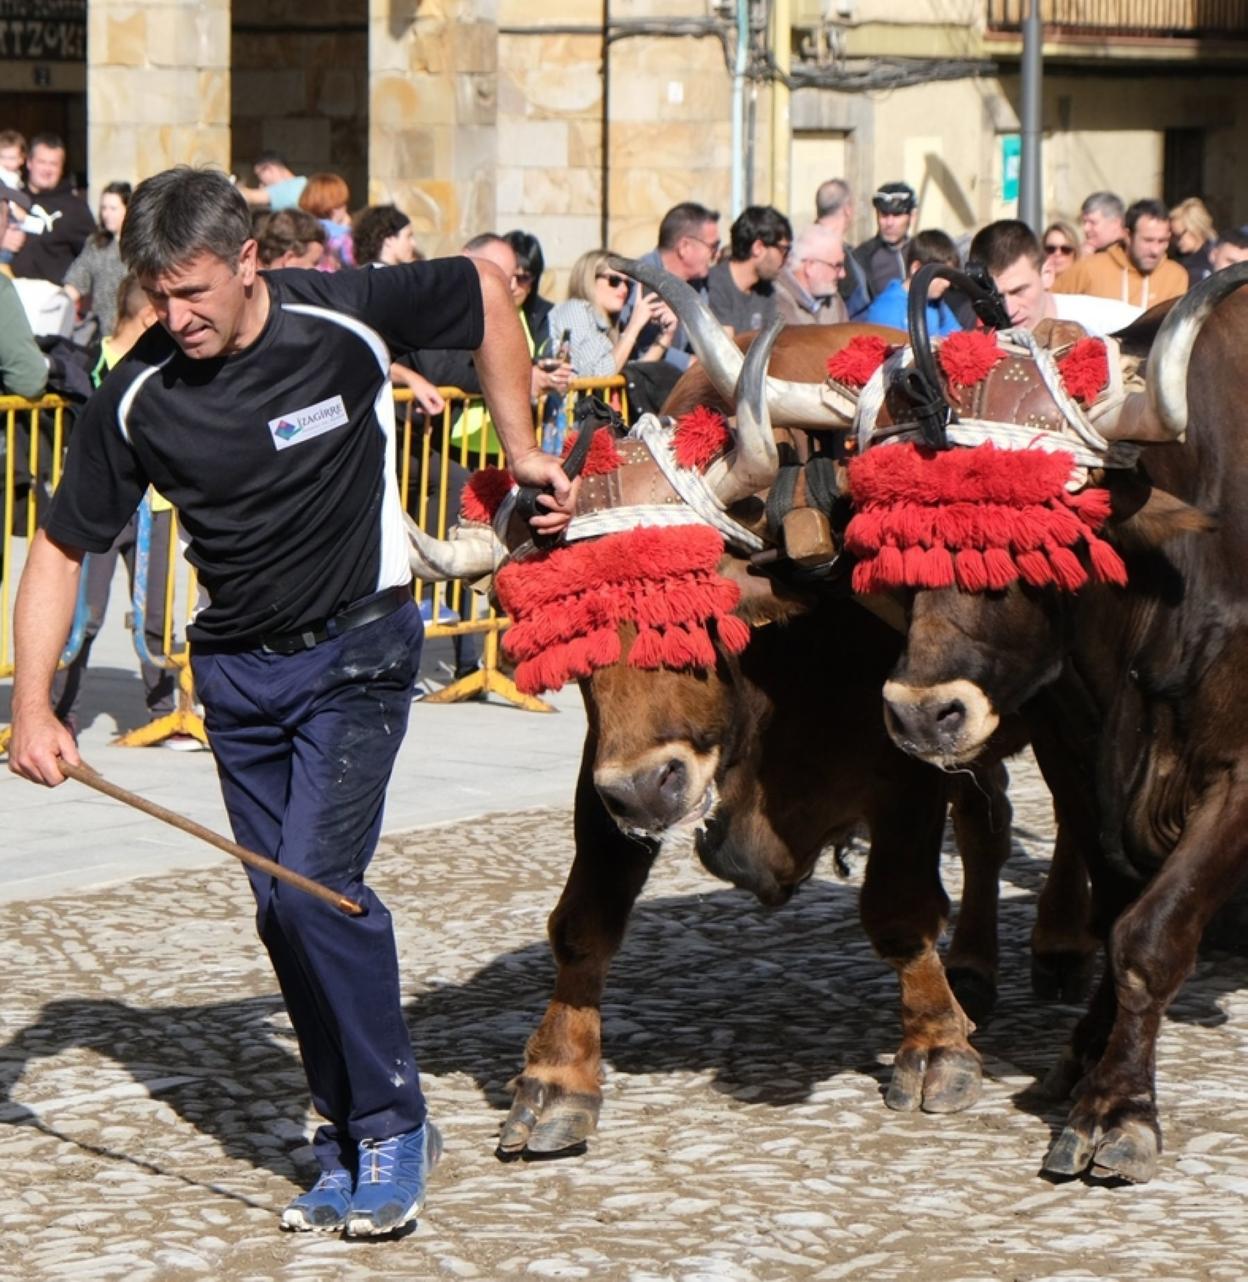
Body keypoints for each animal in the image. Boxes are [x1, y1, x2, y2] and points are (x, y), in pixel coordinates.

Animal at [877, 263, 1248, 1183]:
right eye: (894, 532)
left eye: (1038, 531)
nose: (921, 712)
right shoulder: (1074, 753)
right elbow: (1116, 912)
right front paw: (1082, 1063)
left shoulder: (1239, 773)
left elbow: (1152, 935)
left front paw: (1118, 1112)